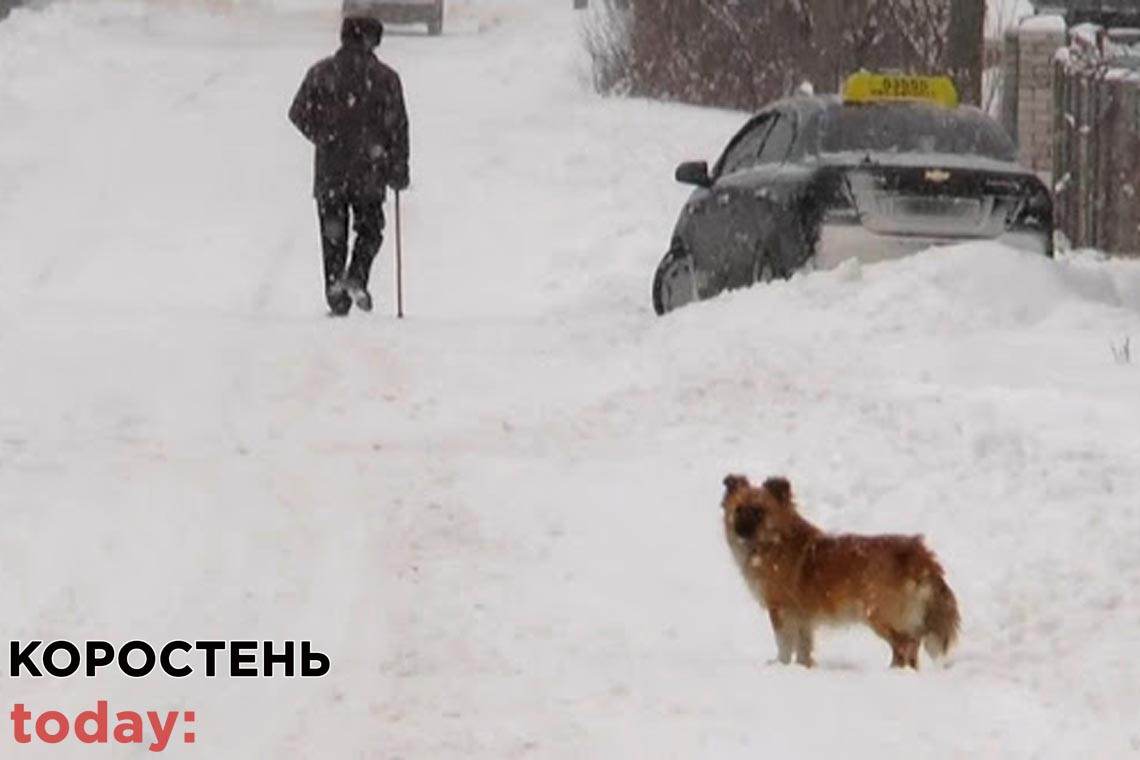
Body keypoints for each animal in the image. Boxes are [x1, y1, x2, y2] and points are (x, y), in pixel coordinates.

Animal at [720, 476, 962, 669]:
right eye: (738, 510)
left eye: (759, 511)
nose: (741, 530)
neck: (772, 543)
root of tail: (918, 554)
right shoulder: (802, 617)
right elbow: (804, 648)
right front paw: (803, 668)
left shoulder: (780, 609)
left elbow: (784, 645)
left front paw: (781, 665)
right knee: (910, 647)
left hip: (878, 614)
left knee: (904, 645)